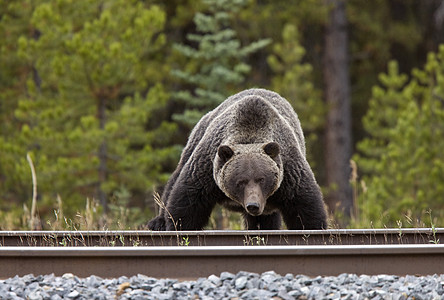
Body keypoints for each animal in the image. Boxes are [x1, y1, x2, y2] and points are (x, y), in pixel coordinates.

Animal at [148, 88, 326, 231]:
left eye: (262, 179)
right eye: (241, 181)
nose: (253, 205)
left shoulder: (289, 172)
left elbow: (305, 207)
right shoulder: (208, 168)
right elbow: (189, 201)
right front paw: (177, 226)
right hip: (195, 140)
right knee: (174, 179)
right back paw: (157, 222)